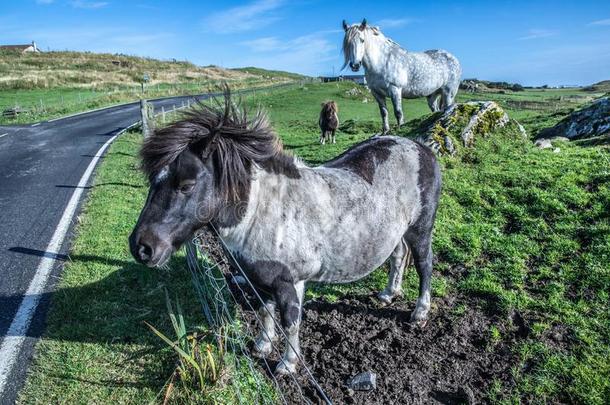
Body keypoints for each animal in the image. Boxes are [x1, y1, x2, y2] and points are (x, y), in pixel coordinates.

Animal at [128, 90, 440, 372]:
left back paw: (419, 313)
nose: (141, 247)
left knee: (424, 264)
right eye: (153, 181)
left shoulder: (288, 282)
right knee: (398, 256)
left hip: (420, 229)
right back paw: (389, 293)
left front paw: (288, 364)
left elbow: (290, 322)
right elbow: (265, 312)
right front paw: (262, 345)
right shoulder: (259, 278)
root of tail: (422, 148)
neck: (261, 210)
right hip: (396, 233)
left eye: (187, 185)